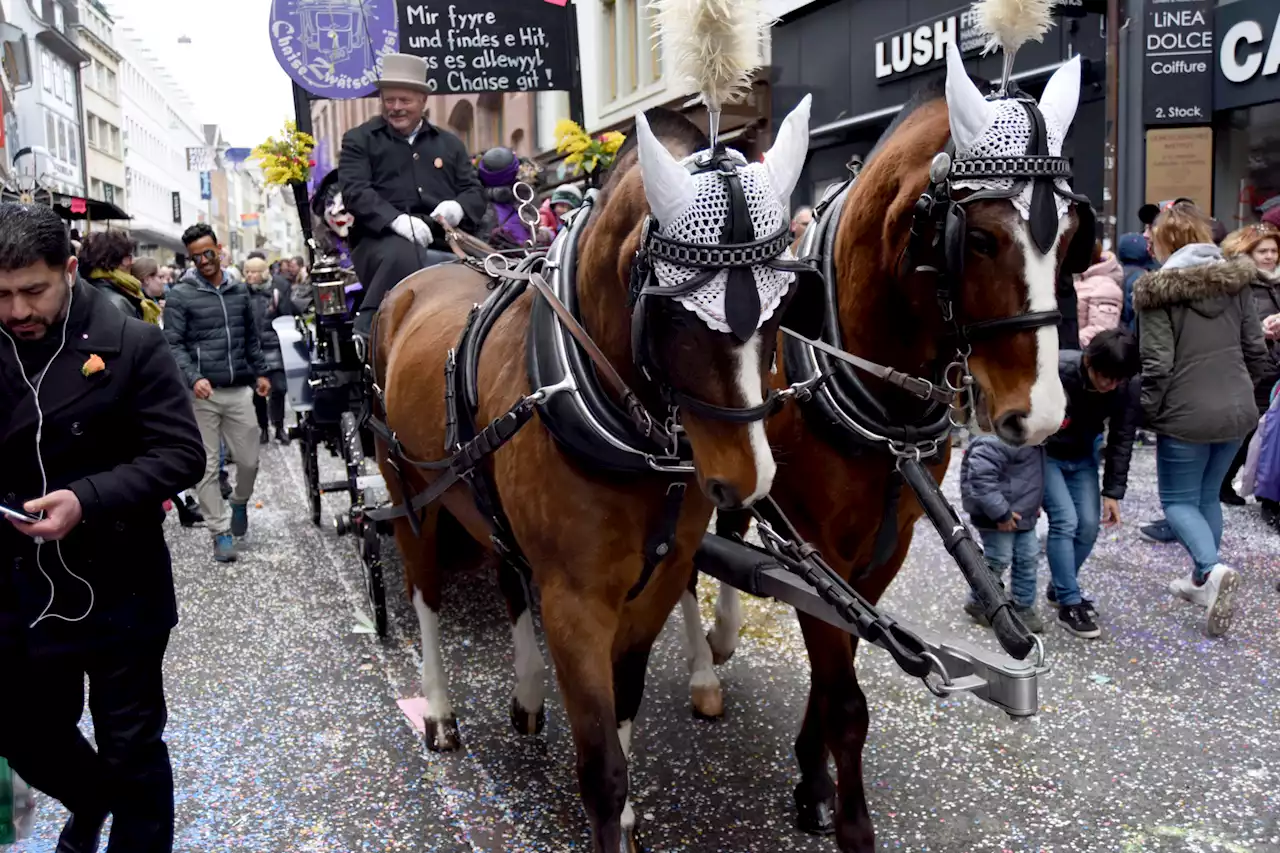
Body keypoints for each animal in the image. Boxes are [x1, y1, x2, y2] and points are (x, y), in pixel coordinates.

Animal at [371, 96, 808, 845]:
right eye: (675, 311)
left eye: (782, 304)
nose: (746, 483)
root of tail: (418, 278)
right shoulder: (575, 603)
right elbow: (601, 766)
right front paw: (614, 816)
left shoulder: (655, 584)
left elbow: (625, 710)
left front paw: (630, 815)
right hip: (410, 491)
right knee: (424, 592)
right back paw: (439, 710)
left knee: (509, 577)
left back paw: (525, 694)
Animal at [691, 49, 1090, 845]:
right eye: (980, 239)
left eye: (1067, 237)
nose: (1041, 417)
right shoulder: (817, 539)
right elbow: (846, 695)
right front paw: (848, 818)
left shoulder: (885, 547)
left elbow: (838, 662)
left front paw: (810, 776)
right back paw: (703, 666)